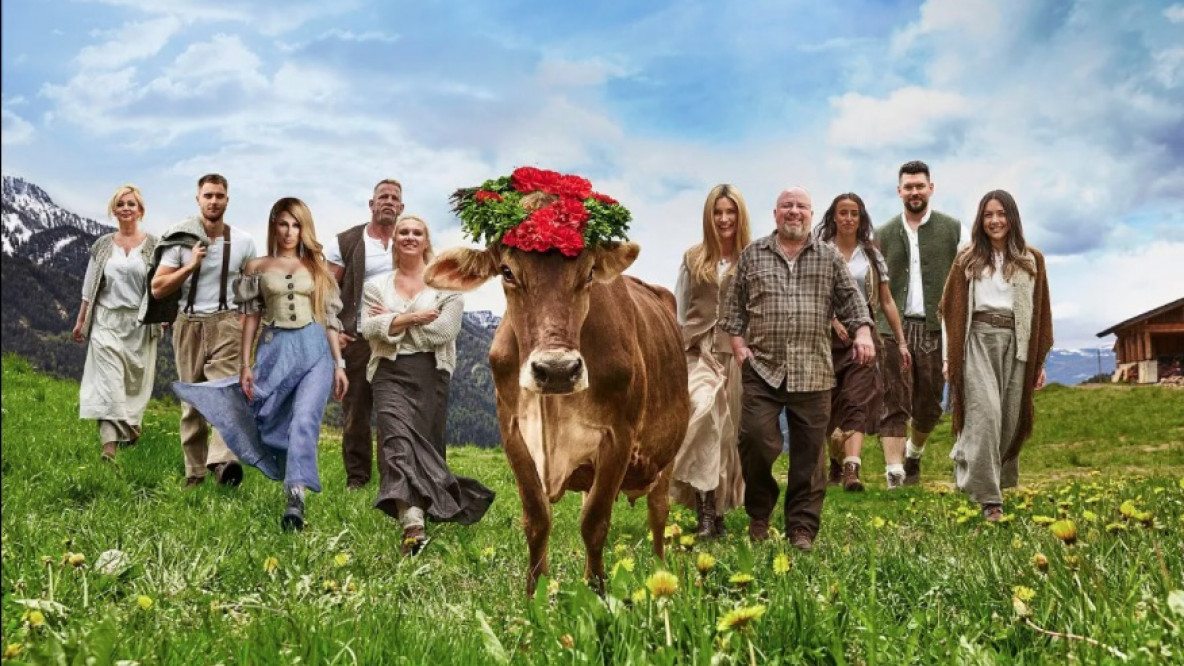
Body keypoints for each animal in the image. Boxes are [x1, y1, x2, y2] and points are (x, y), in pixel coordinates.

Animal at [426, 238, 691, 590]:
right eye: (507, 271)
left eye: (590, 271)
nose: (557, 371)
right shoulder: (513, 432)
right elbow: (537, 519)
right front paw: (534, 594)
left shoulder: (618, 436)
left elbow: (595, 521)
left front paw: (596, 592)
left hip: (669, 452)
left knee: (658, 511)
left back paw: (662, 572)